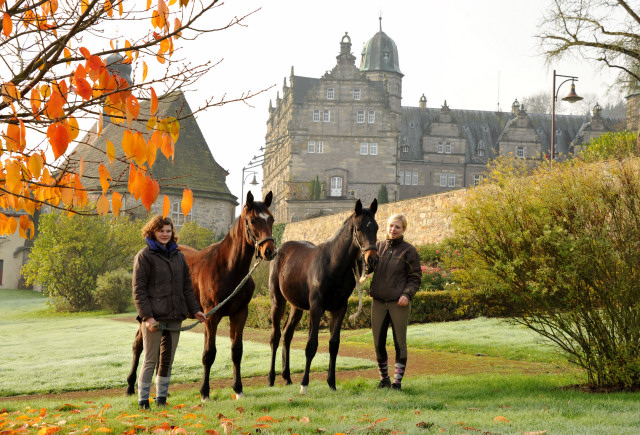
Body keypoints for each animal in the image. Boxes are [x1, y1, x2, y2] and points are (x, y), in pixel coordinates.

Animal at [125, 192, 276, 400]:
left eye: (272, 219)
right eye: (253, 220)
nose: (269, 251)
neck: (229, 268)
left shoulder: (240, 314)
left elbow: (237, 351)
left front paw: (238, 389)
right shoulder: (211, 317)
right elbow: (209, 354)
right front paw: (205, 392)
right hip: (147, 318)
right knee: (138, 345)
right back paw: (131, 387)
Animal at [268, 199, 378, 394]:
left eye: (377, 227)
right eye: (358, 229)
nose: (371, 260)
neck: (334, 264)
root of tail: (280, 249)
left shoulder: (339, 309)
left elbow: (334, 344)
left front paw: (331, 383)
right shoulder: (316, 307)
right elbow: (311, 345)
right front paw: (304, 384)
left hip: (297, 306)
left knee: (287, 335)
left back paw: (287, 377)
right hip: (277, 301)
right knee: (276, 336)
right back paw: (272, 378)